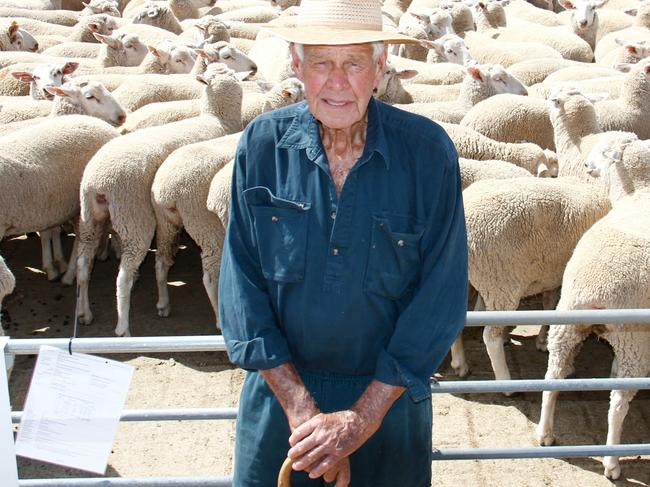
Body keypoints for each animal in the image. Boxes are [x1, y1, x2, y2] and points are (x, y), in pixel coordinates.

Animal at [149, 132, 240, 326]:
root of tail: (166, 191)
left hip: (165, 223)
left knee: (161, 261)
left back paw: (163, 304)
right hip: (207, 226)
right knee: (211, 275)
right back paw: (219, 320)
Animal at [454, 177, 612, 384]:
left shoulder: (551, 275)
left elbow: (549, 305)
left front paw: (542, 340)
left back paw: (459, 363)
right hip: (501, 283)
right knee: (491, 337)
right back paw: (505, 381)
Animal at [536, 132, 648, 480]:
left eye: (602, 151)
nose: (587, 165)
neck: (638, 192)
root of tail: (596, 287)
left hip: (566, 319)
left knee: (552, 376)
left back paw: (544, 434)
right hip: (634, 339)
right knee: (619, 403)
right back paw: (611, 462)